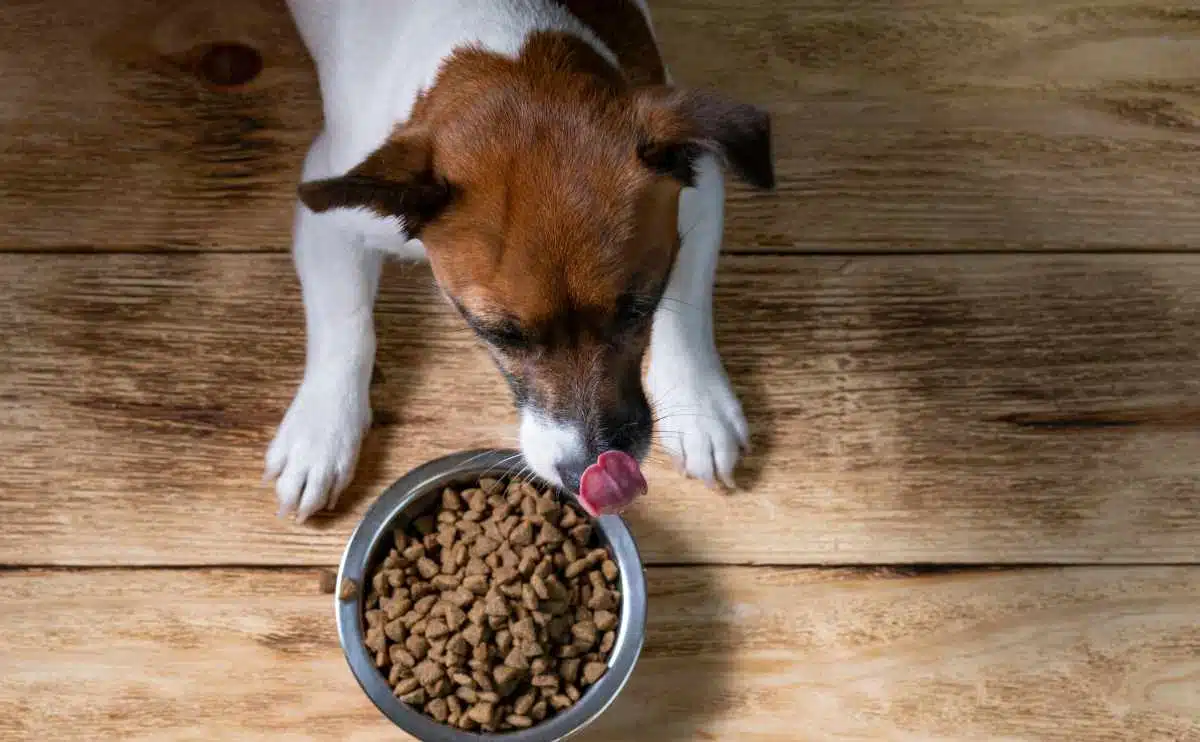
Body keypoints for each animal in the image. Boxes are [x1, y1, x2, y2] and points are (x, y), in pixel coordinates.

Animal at [266, 0, 772, 521]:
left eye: (639, 309)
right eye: (499, 334)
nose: (588, 468)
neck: (509, 47)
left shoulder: (700, 191)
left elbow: (686, 307)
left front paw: (698, 400)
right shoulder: (330, 216)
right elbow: (346, 324)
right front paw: (323, 430)